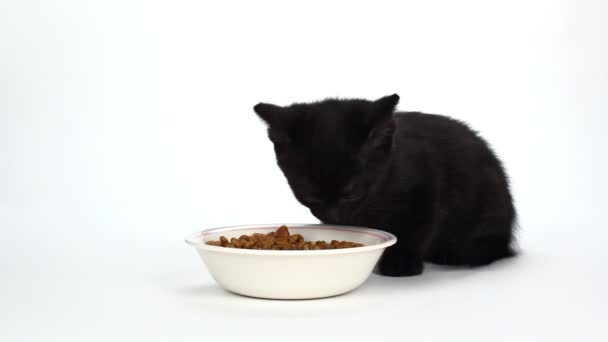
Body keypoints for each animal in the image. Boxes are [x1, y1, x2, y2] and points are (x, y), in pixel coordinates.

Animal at [254, 95, 516, 276]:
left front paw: (401, 262)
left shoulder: (425, 186)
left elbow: (415, 227)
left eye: (350, 193)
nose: (333, 216)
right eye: (309, 196)